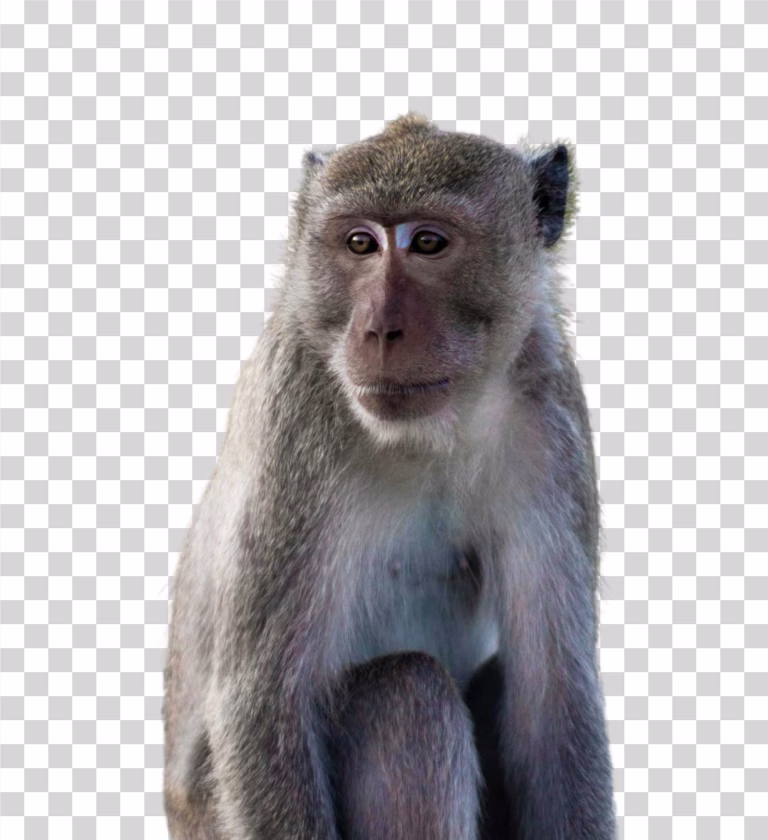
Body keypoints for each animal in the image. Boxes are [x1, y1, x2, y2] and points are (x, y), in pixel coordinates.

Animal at [163, 113, 616, 840]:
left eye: (427, 243)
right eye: (360, 243)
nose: (379, 329)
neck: (426, 436)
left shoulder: (550, 419)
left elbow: (554, 707)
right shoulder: (298, 409)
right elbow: (263, 703)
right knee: (407, 693)